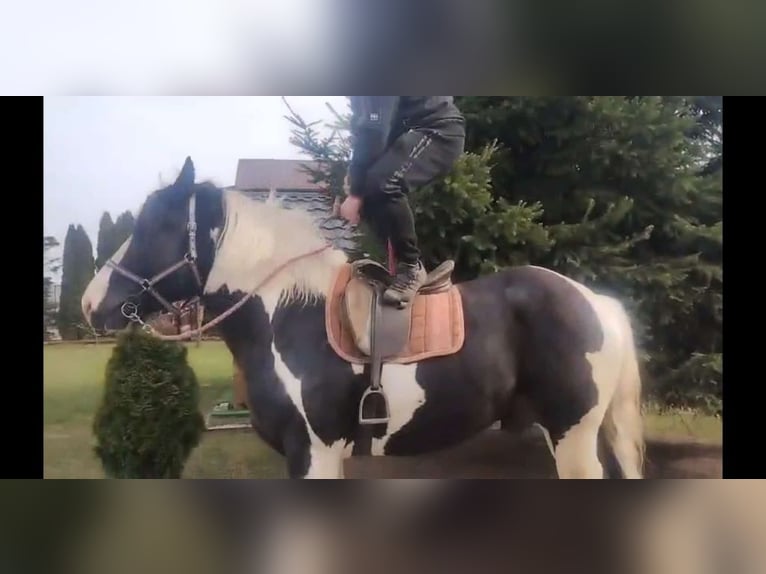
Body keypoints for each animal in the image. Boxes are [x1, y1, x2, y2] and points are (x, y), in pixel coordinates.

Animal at [81, 157, 645, 479]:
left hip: (573, 437)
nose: (90, 303)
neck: (289, 315)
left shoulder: (314, 452)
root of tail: (596, 302)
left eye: (154, 225)